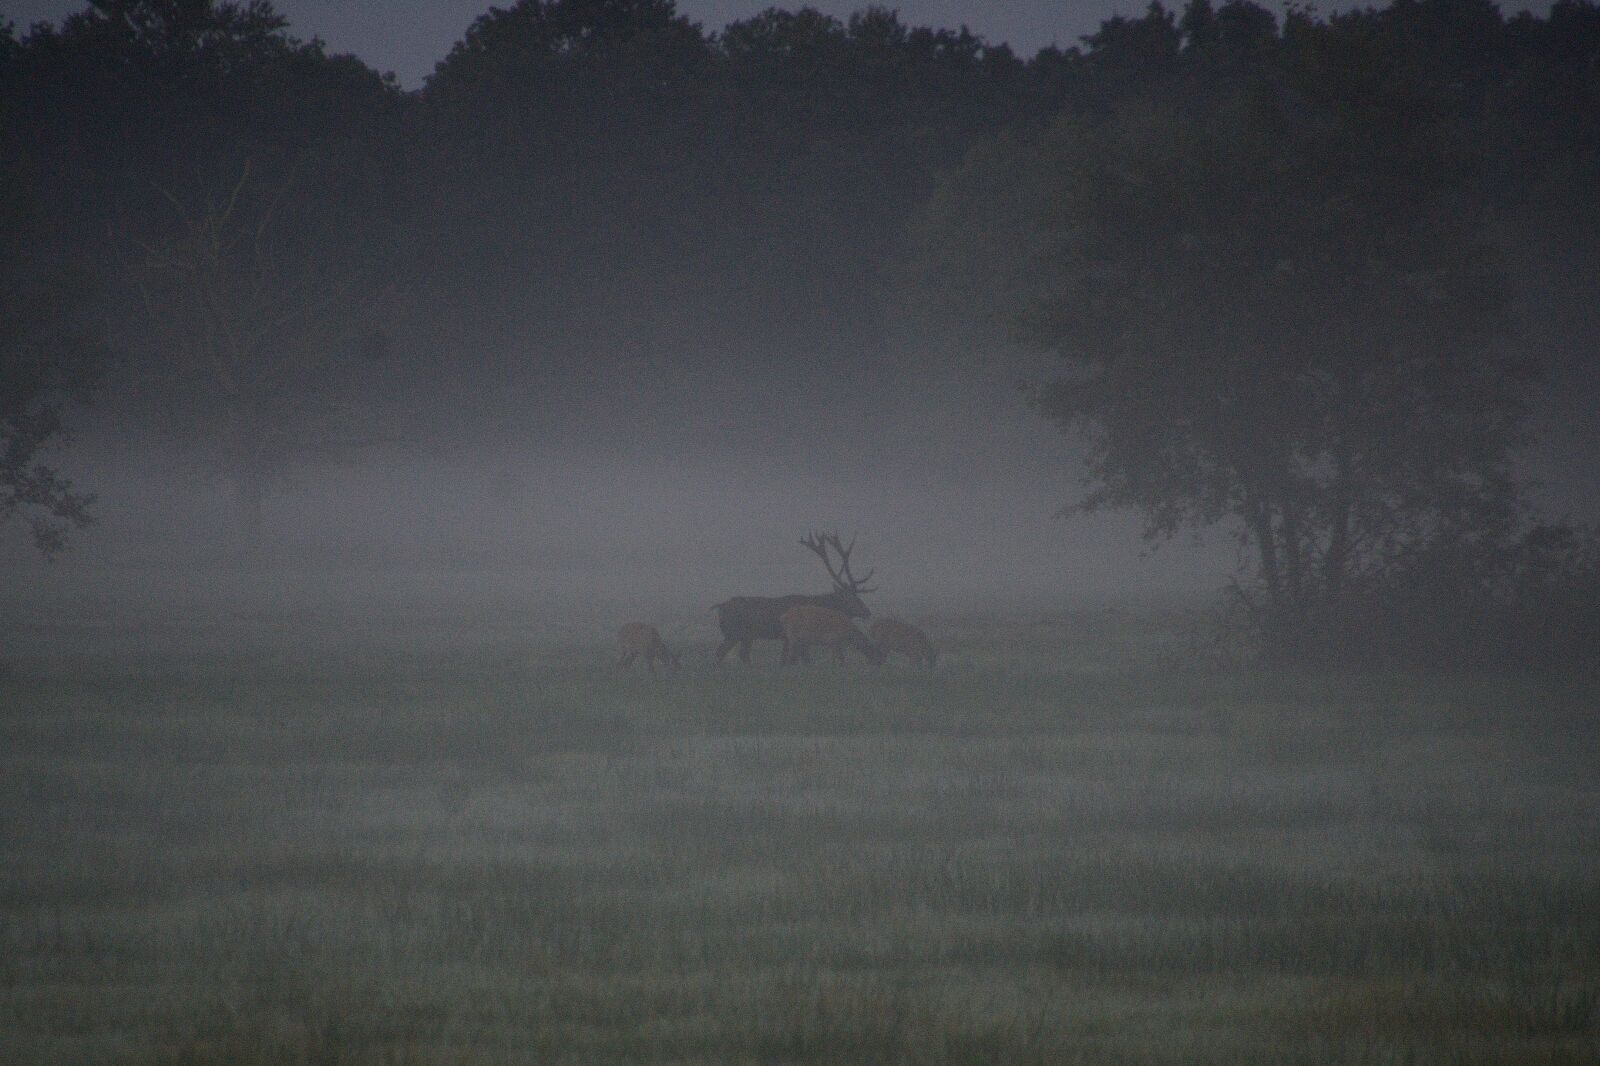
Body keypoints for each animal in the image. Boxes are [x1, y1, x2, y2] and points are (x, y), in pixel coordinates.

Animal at [712, 531, 877, 665]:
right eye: (851, 598)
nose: (867, 612)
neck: (820, 604)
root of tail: (720, 606)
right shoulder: (798, 638)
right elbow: (801, 660)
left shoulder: (788, 639)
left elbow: (785, 660)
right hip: (734, 632)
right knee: (721, 652)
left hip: (746, 636)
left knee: (741, 654)